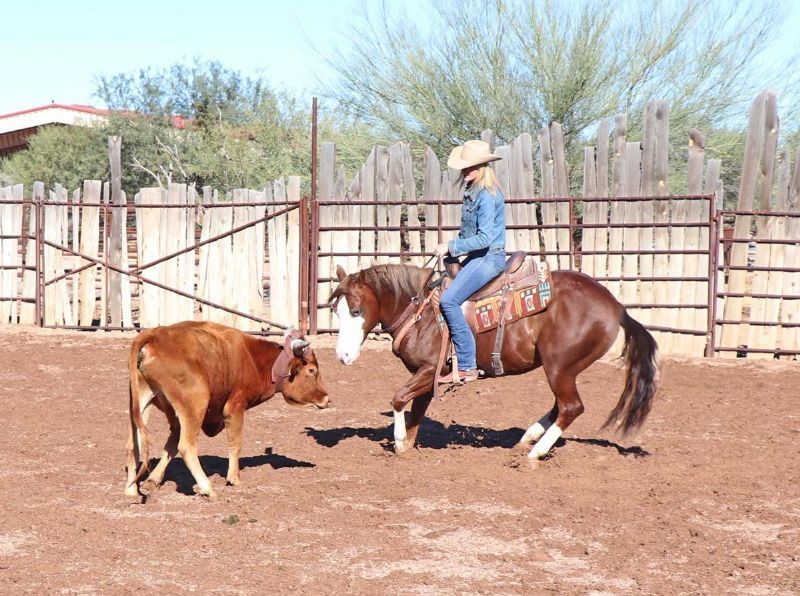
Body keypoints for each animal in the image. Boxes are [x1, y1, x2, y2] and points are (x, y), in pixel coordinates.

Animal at [330, 261, 659, 460]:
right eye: (336, 311)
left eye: (356, 311)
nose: (342, 356)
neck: (421, 312)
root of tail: (616, 306)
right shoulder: (427, 375)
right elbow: (416, 412)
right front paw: (408, 446)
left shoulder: (431, 369)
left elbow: (398, 399)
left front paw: (398, 442)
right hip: (564, 370)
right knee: (561, 406)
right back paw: (528, 437)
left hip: (559, 367)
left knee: (571, 407)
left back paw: (534, 454)